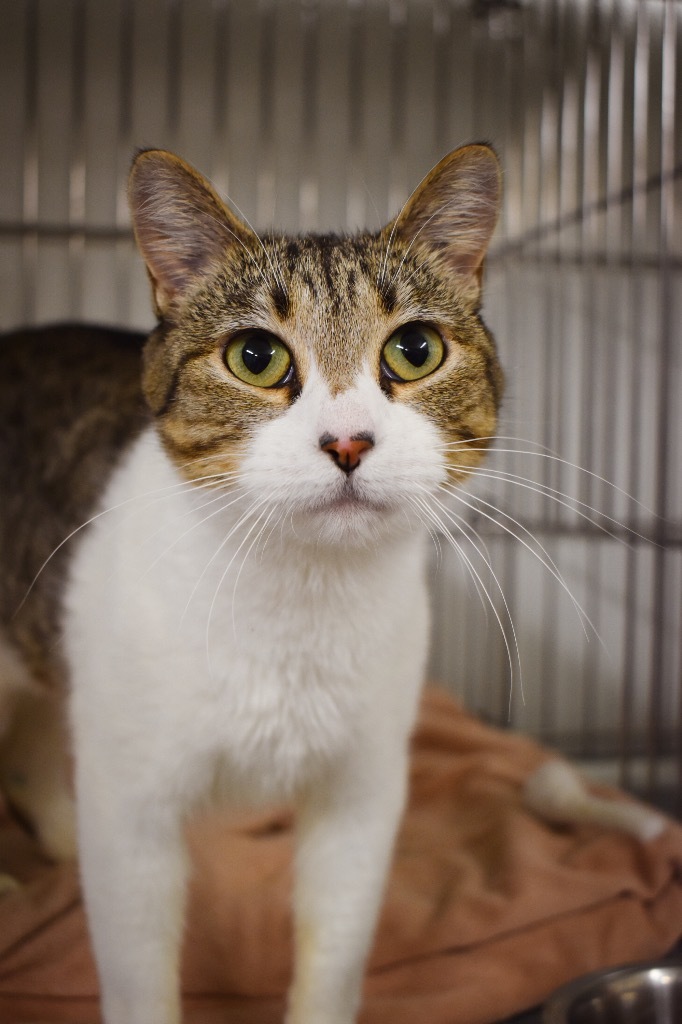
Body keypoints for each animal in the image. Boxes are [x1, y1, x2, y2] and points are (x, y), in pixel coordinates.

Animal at [0, 146, 499, 1024]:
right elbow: (138, 976)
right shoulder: (132, 807)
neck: (298, 602)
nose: (347, 441)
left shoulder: (363, 791)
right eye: (256, 358)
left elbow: (333, 957)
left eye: (415, 350)